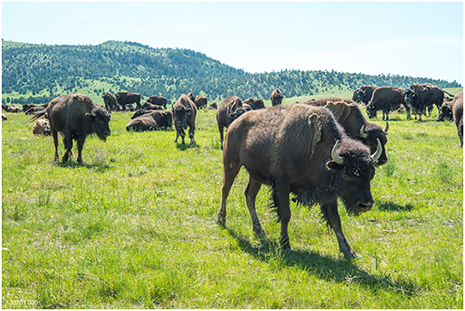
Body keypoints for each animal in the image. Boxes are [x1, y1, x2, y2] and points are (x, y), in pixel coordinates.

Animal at [218, 103, 380, 260]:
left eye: (371, 174)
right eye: (346, 174)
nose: (365, 205)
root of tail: (233, 124)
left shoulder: (328, 193)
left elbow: (336, 220)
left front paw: (349, 251)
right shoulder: (282, 185)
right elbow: (285, 214)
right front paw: (285, 246)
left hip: (256, 175)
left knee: (249, 195)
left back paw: (258, 230)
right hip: (231, 163)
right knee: (225, 189)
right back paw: (221, 220)